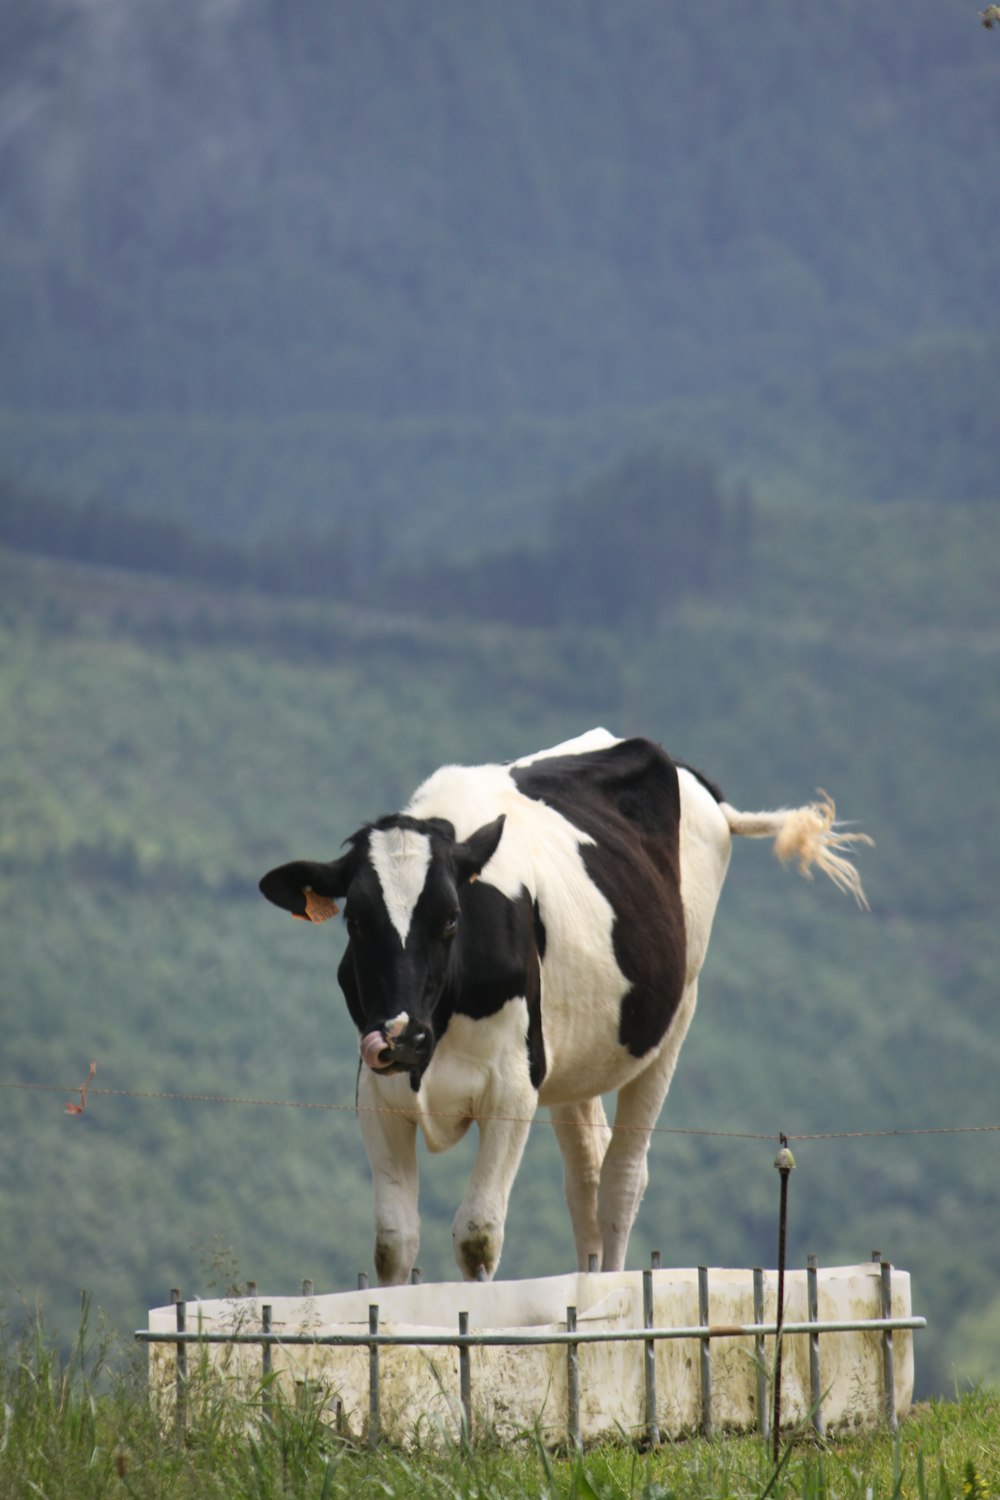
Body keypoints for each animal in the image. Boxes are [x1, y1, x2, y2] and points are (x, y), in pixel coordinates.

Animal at [260, 732, 869, 1284]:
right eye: (355, 921)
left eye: (452, 918)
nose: (403, 1038)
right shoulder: (376, 1093)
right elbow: (393, 1243)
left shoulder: (512, 1087)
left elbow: (478, 1235)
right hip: (578, 1058)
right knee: (585, 1179)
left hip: (674, 1016)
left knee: (621, 1180)